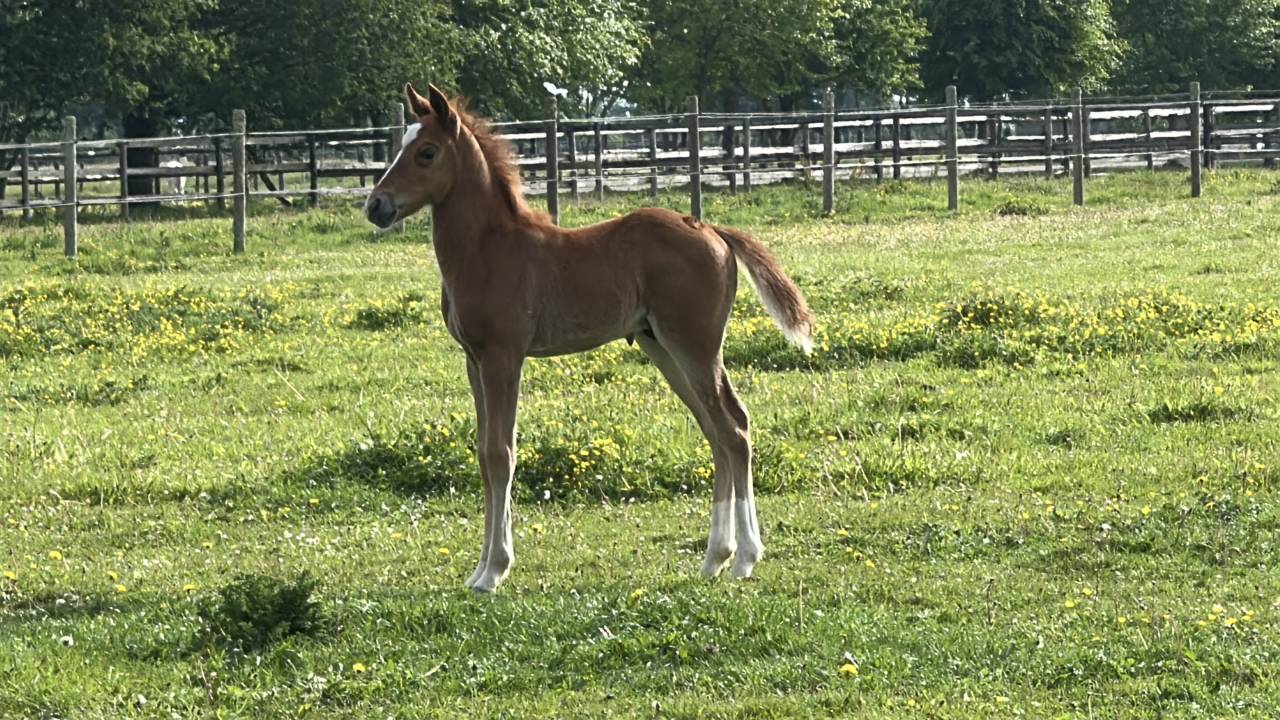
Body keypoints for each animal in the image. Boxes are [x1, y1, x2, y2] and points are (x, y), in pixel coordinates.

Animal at [364, 84, 813, 593]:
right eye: (400, 145)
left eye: (426, 152)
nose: (375, 206)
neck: (488, 250)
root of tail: (712, 230)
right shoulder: (473, 360)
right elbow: (482, 453)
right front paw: (479, 569)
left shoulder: (504, 357)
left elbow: (501, 454)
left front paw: (494, 570)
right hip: (663, 347)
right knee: (715, 430)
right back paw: (715, 557)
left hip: (696, 346)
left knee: (734, 428)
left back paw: (745, 558)